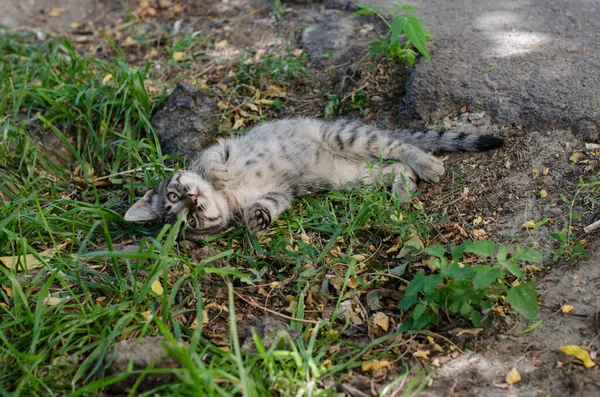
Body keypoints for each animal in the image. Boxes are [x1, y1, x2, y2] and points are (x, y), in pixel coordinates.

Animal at [125, 116, 502, 240]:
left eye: (173, 196)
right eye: (187, 220)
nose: (192, 199)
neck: (228, 197)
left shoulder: (218, 149)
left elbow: (214, 161)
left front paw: (218, 174)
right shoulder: (280, 193)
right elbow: (268, 206)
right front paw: (257, 221)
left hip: (347, 137)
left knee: (402, 146)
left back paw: (429, 165)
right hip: (350, 176)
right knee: (395, 166)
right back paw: (403, 190)